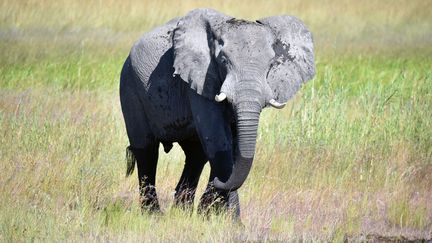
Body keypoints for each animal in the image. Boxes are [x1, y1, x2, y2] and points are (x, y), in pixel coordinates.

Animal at [120, 8, 316, 216]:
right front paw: (227, 218)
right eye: (223, 60)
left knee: (196, 156)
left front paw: (214, 216)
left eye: (271, 64)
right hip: (130, 86)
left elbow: (234, 146)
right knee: (146, 150)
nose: (218, 182)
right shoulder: (201, 78)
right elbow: (219, 142)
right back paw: (154, 215)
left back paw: (183, 212)